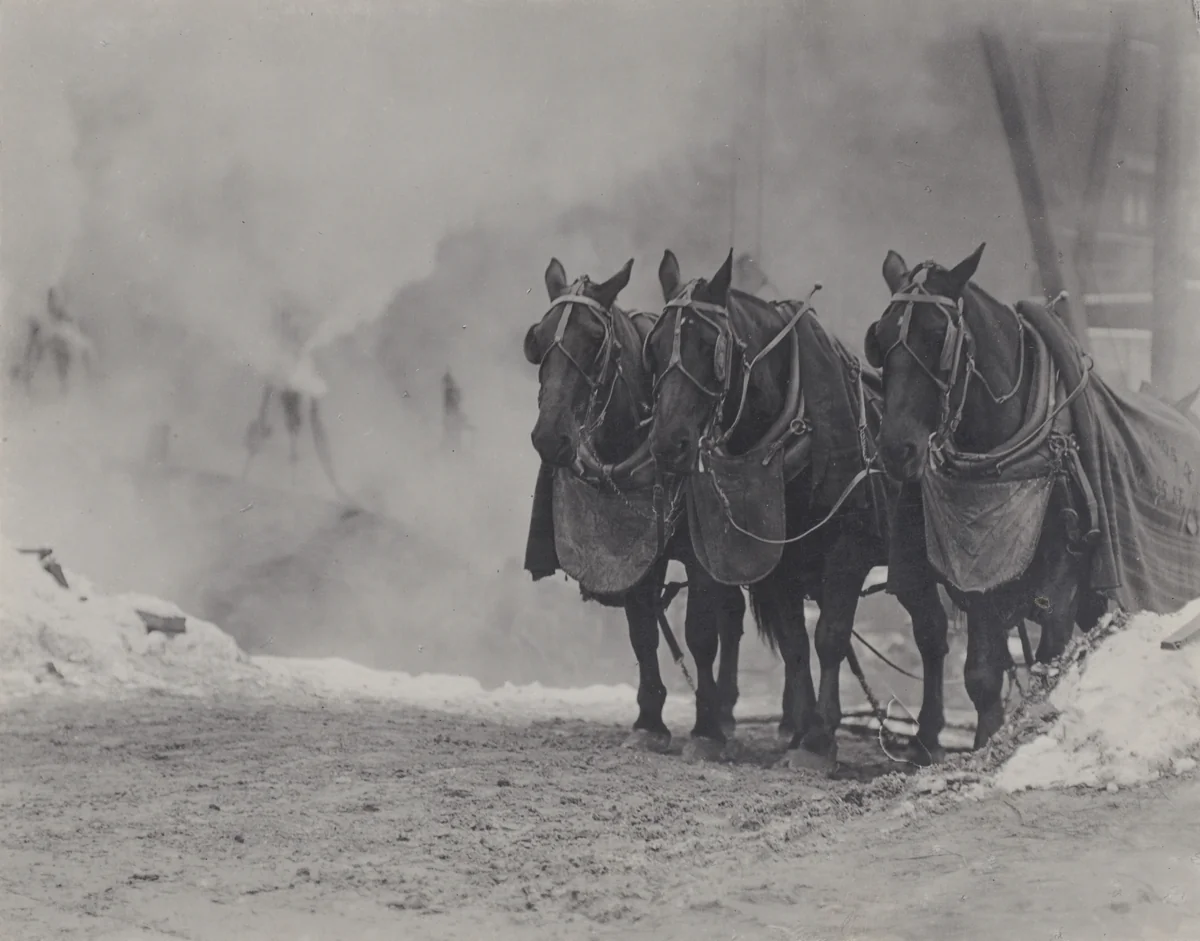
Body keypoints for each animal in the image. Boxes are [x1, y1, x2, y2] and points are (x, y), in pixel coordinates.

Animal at [523, 257, 750, 756]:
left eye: (594, 339)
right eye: (539, 339)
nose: (549, 436)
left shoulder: (704, 559)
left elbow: (701, 634)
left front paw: (705, 726)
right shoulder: (634, 557)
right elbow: (641, 628)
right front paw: (650, 718)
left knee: (731, 616)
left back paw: (725, 710)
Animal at [644, 249, 950, 770]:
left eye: (709, 344)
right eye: (658, 345)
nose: (669, 443)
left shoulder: (847, 552)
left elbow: (829, 636)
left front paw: (819, 741)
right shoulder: (777, 563)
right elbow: (794, 645)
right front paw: (801, 728)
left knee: (934, 633)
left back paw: (931, 734)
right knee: (931, 628)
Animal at [863, 244, 1106, 748]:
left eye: (938, 336)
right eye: (879, 338)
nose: (896, 449)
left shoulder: (1065, 576)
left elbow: (1050, 660)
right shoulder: (977, 569)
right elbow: (981, 674)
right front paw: (984, 743)